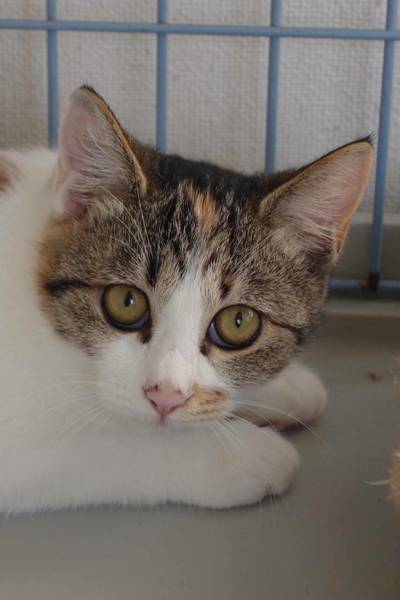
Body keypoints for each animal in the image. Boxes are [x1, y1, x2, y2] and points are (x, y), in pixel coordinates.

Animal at [0, 86, 372, 512]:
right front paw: (243, 455)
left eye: (238, 322)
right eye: (126, 302)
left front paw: (288, 386)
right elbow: (104, 447)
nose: (165, 396)